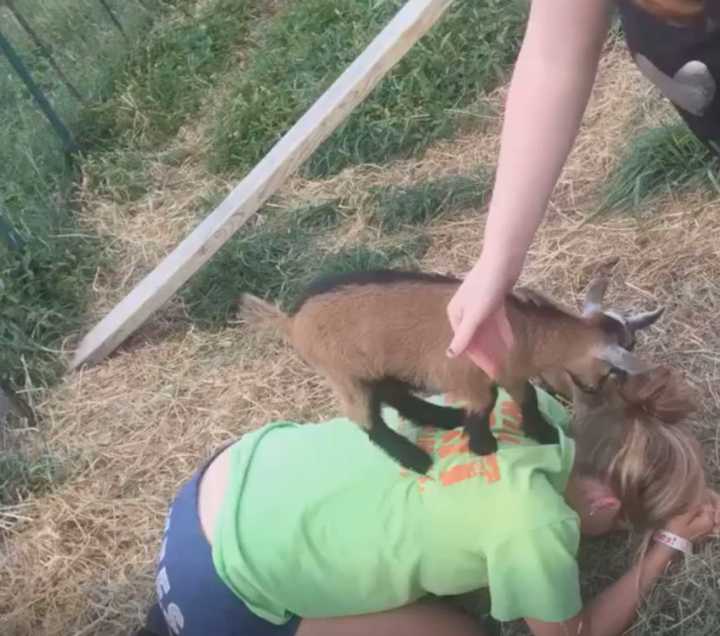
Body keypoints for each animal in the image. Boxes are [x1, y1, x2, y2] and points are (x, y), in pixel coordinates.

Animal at [243, 268, 664, 472]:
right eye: (614, 370)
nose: (598, 394)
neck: (524, 331)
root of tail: (291, 322)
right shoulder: (470, 375)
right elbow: (487, 403)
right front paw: (483, 444)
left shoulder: (509, 370)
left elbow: (525, 395)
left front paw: (540, 431)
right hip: (344, 373)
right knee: (367, 421)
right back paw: (415, 459)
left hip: (377, 366)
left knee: (394, 395)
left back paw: (441, 418)